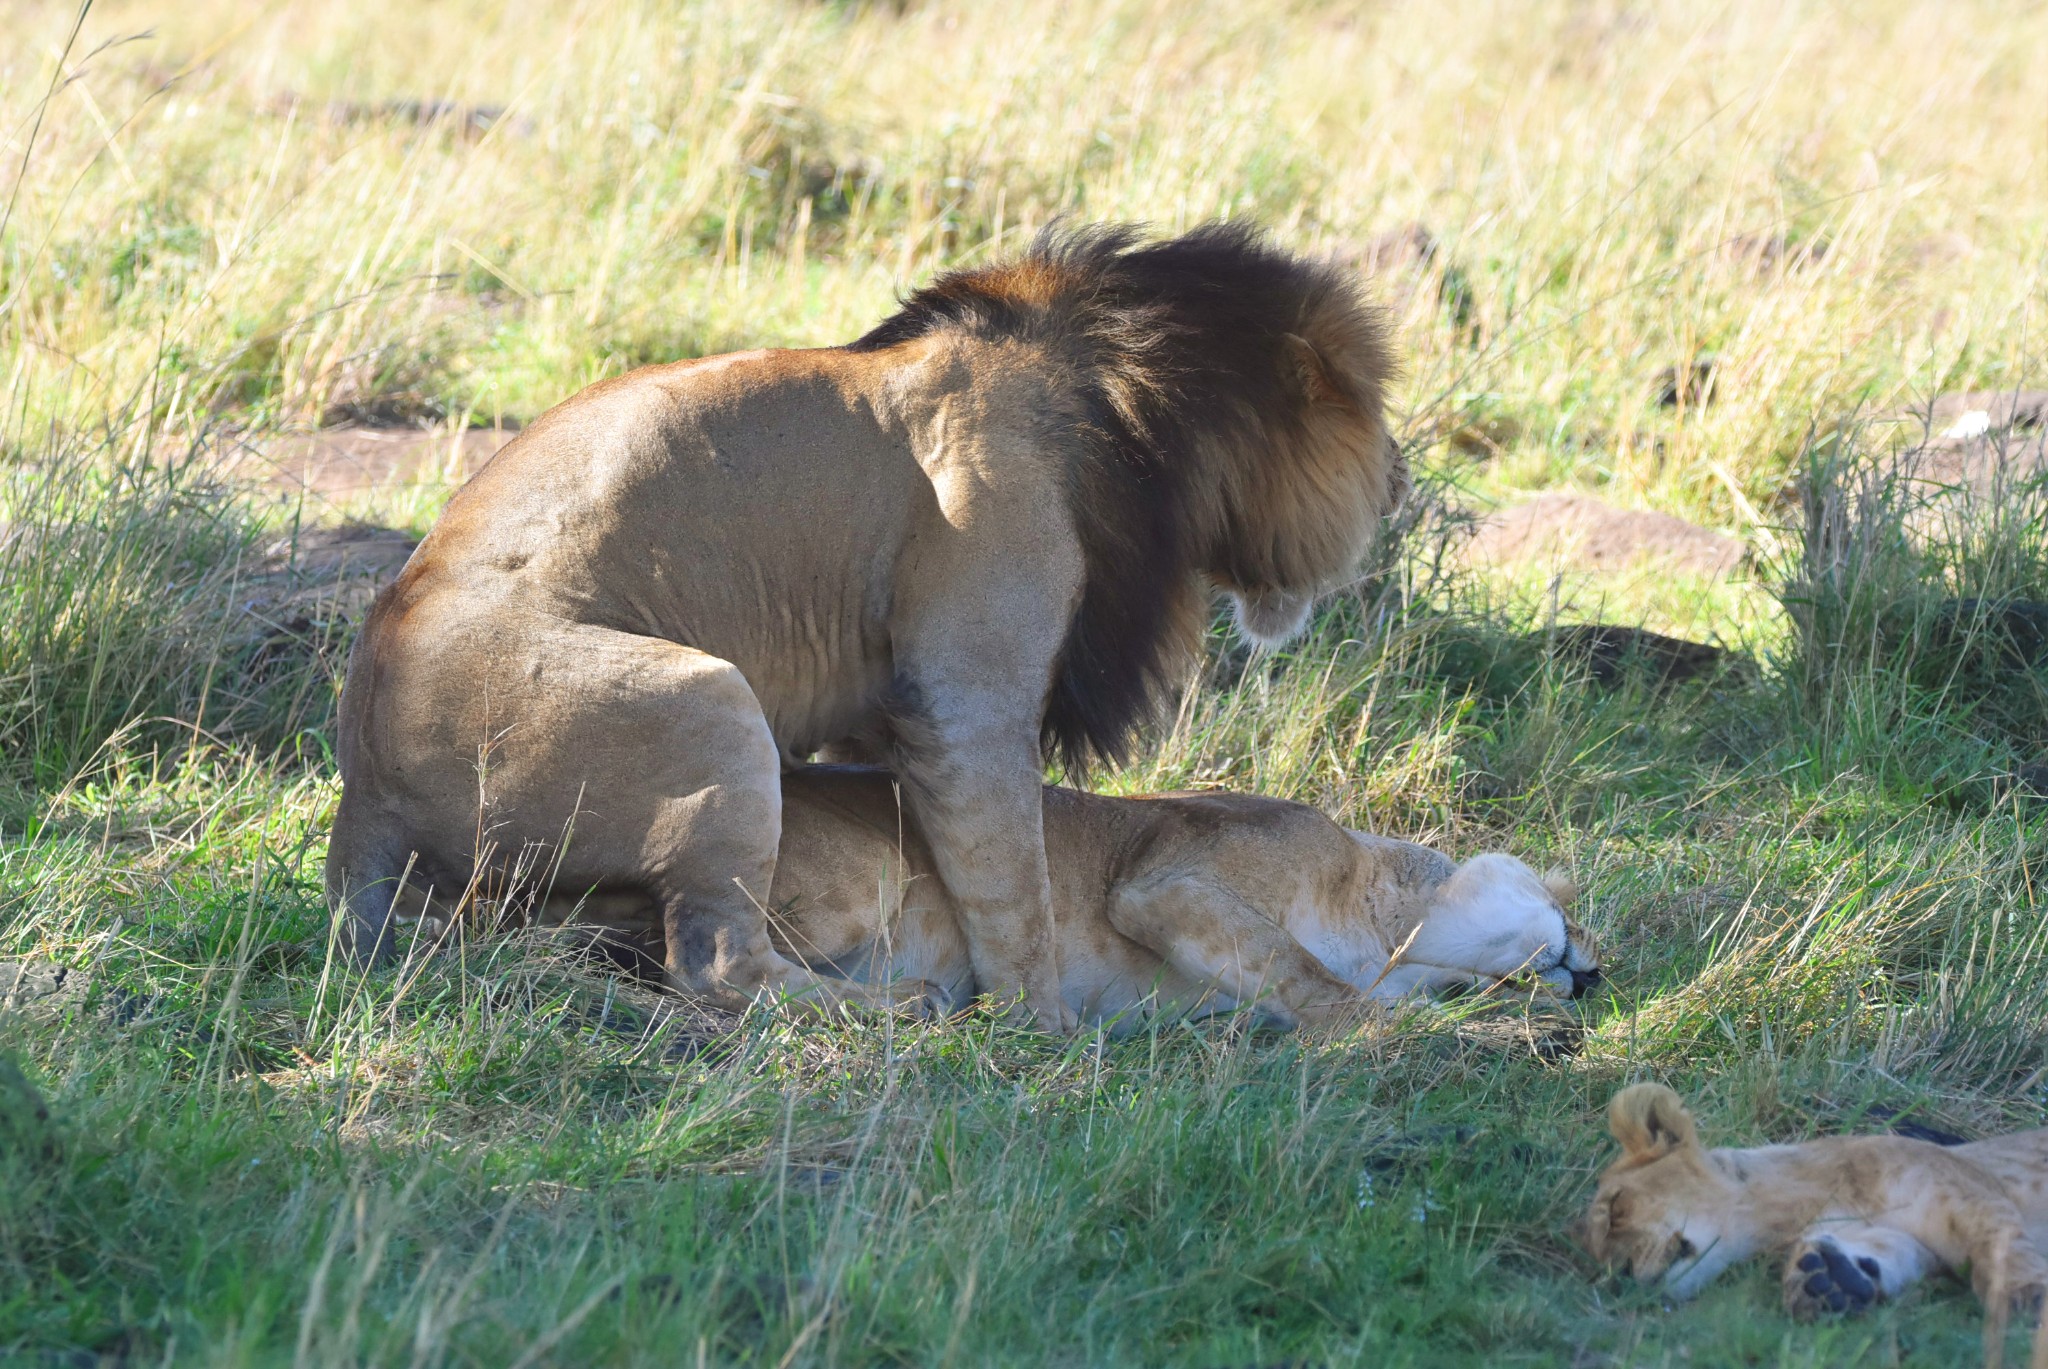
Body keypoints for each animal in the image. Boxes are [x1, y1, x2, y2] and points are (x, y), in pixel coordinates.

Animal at [323, 222, 1409, 1024]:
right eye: (1373, 417)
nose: (1401, 484)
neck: (1118, 398)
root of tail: (360, 802)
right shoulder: (963, 697)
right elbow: (1014, 883)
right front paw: (1048, 1031)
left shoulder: (884, 709)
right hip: (709, 701)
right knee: (717, 965)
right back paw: (900, 1009)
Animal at [1589, 1082, 2048, 1319]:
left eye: (1616, 1208)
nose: (1621, 1279)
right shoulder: (1907, 1238)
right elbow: (1893, 1253)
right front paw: (1826, 1282)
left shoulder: (1970, 1190)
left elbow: (2001, 1244)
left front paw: (2027, 1298)